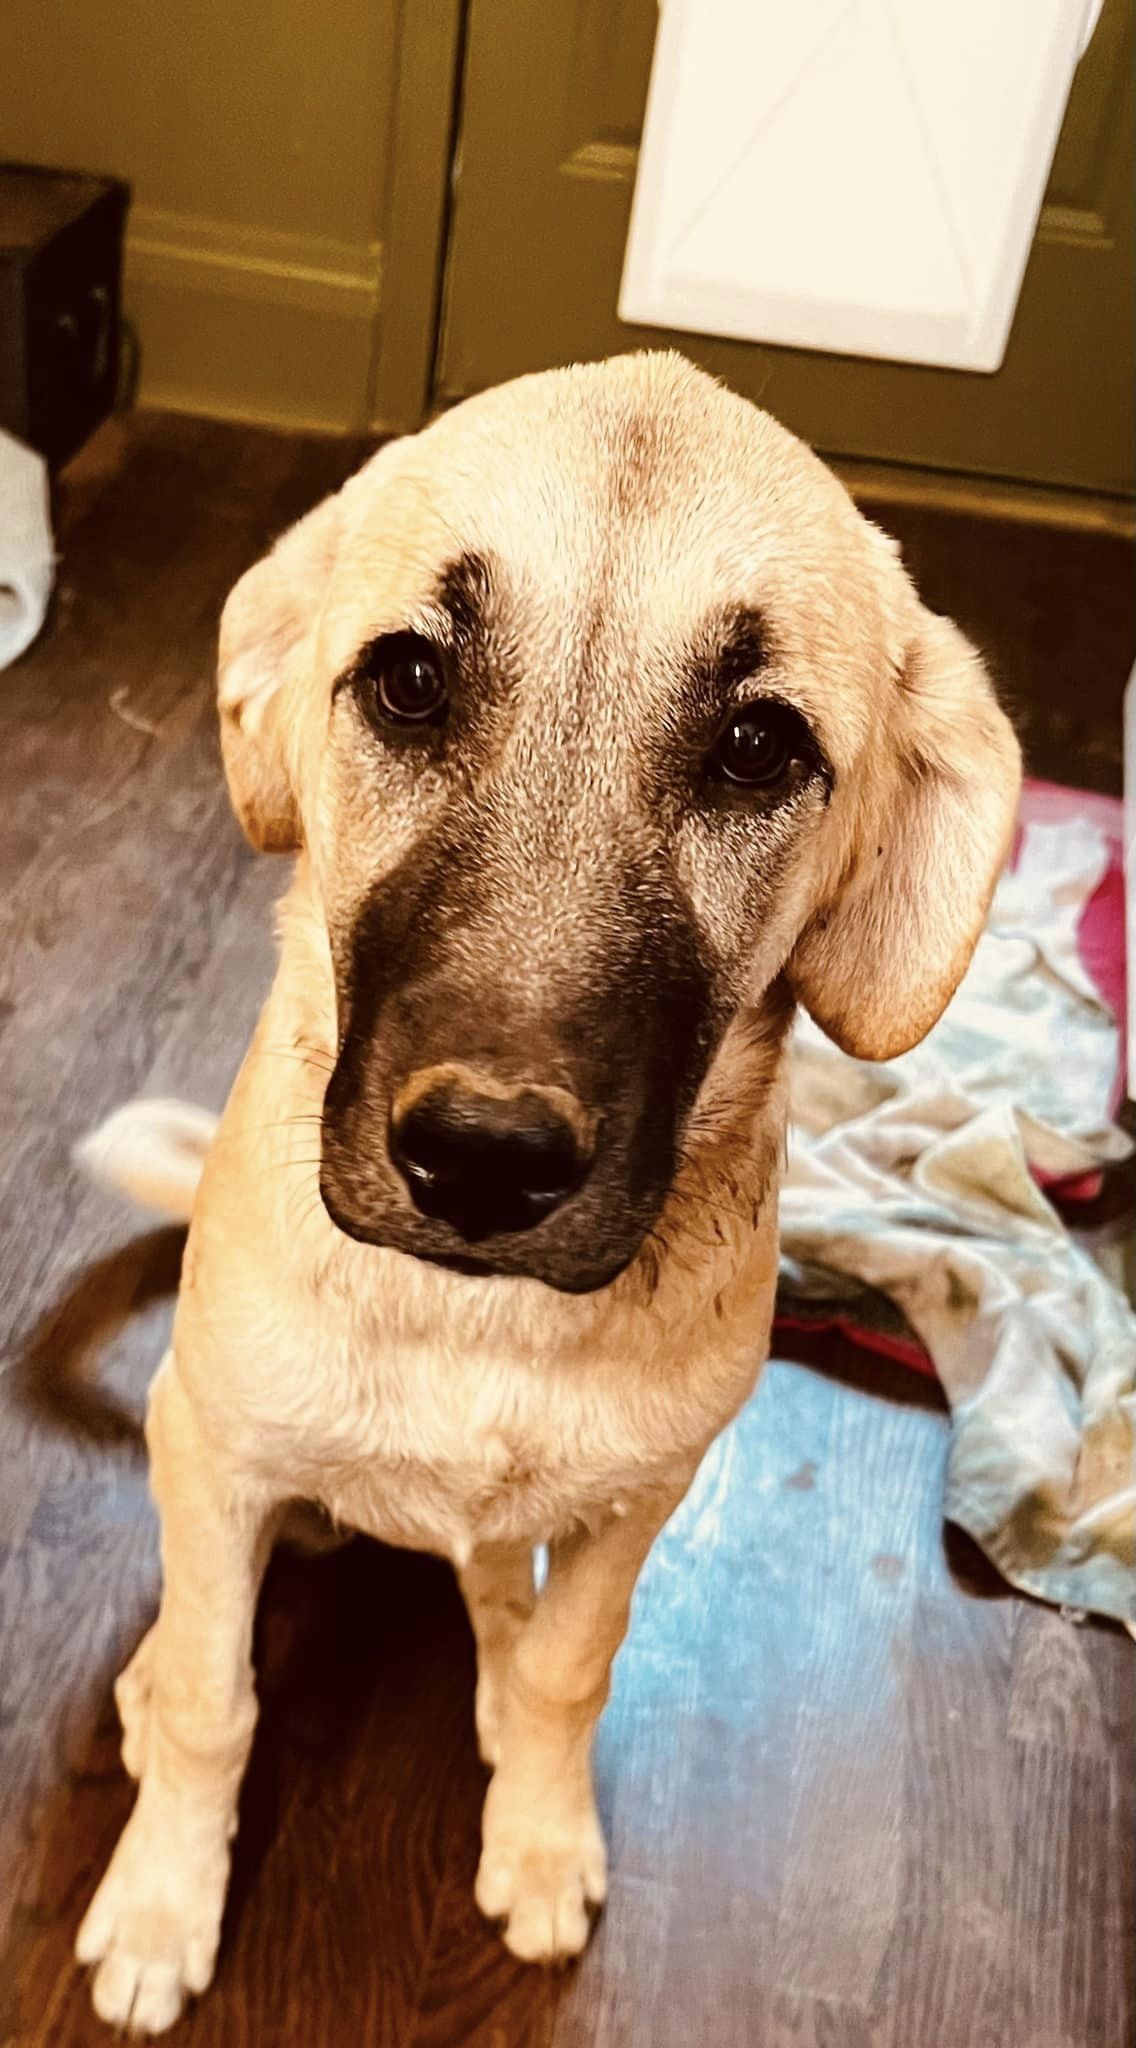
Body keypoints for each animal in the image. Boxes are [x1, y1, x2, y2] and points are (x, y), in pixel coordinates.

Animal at [77, 356, 1023, 2031]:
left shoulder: (640, 1501)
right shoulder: (219, 1450)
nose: (483, 1158)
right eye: (406, 681)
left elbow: (576, 1670)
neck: (480, 1321)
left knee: (493, 1586)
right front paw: (162, 1905)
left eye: (760, 748)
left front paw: (536, 1830)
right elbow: (210, 1695)